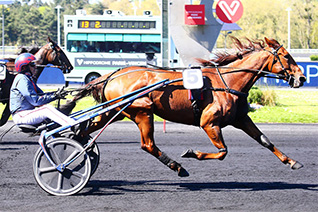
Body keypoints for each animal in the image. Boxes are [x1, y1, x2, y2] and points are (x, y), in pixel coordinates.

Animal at [72, 36, 306, 177]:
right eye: (286, 56)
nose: (302, 78)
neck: (228, 82)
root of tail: (112, 74)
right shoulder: (209, 122)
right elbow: (222, 152)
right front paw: (192, 153)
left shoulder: (241, 119)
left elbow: (265, 140)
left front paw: (292, 161)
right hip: (142, 112)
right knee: (148, 145)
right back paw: (177, 166)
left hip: (115, 111)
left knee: (85, 129)